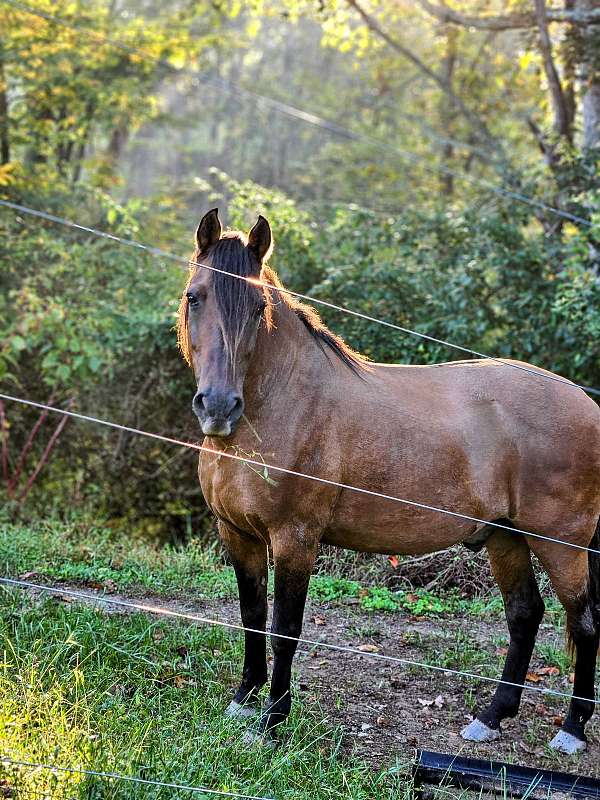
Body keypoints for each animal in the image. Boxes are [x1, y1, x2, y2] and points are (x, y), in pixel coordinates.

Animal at [178, 208, 600, 756]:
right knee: (526, 614)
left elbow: (285, 626)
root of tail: (588, 404)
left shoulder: (296, 539)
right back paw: (490, 718)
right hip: (505, 537)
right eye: (195, 295)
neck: (279, 406)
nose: (218, 407)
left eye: (257, 305)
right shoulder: (238, 534)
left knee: (584, 622)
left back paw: (571, 730)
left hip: (561, 545)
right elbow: (251, 614)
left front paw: (273, 720)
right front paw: (243, 700)